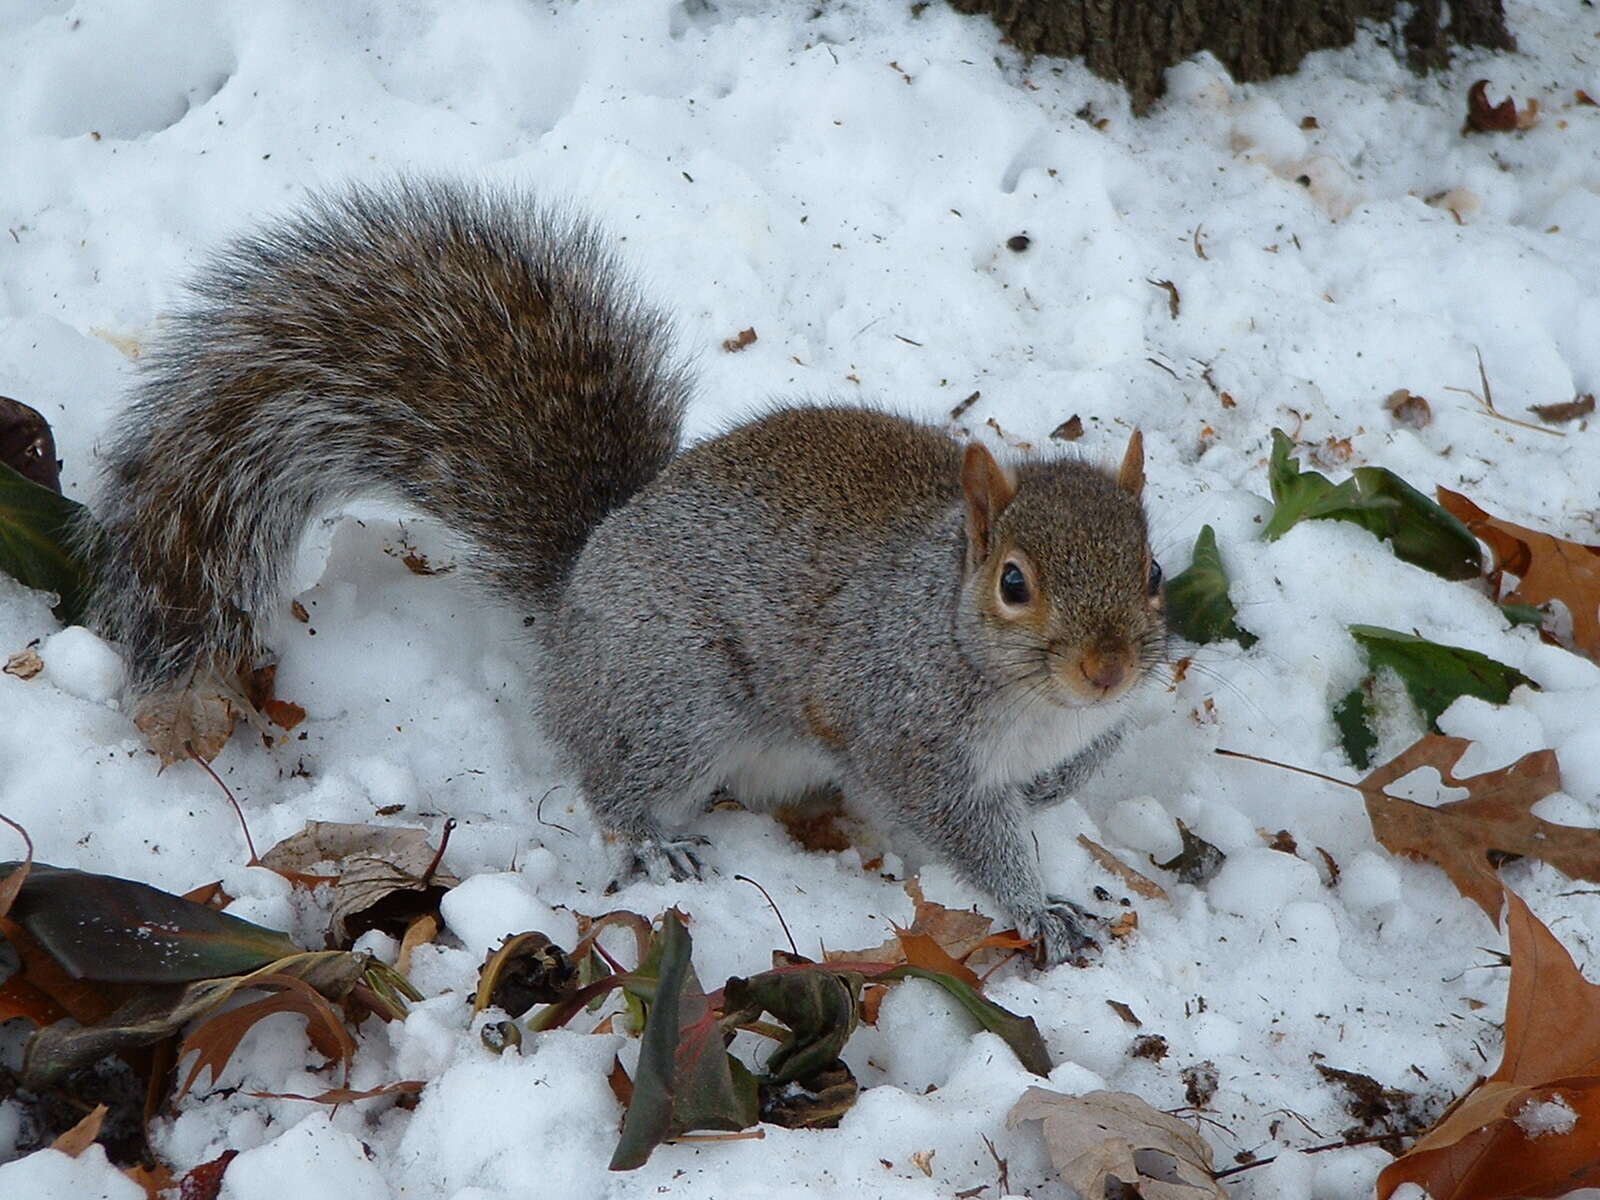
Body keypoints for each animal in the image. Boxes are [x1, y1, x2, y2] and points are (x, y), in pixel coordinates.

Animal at [81, 178, 1171, 966]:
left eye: (1155, 569)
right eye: (1014, 583)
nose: (1108, 671)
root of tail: (576, 593)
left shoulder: (1098, 729)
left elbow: (1063, 776)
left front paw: (1046, 810)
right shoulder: (902, 723)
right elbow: (961, 825)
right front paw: (1037, 904)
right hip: (676, 690)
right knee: (615, 775)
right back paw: (652, 836)